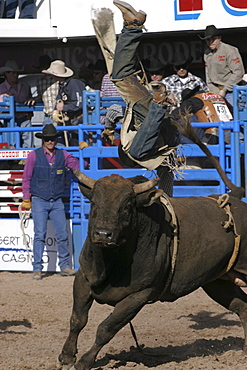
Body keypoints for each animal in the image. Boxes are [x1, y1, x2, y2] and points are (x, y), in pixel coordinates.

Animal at [58, 169, 247, 368]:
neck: (111, 261)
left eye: (127, 206)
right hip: (217, 283)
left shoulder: (139, 295)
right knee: (242, 307)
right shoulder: (84, 278)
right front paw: (67, 356)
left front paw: (85, 361)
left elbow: (106, 328)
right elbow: (77, 320)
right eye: (94, 202)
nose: (103, 234)